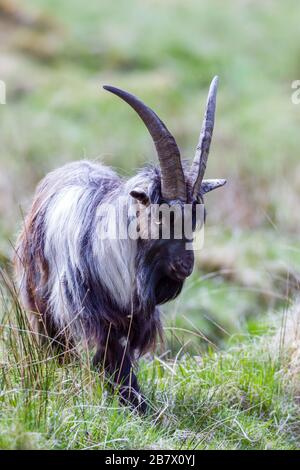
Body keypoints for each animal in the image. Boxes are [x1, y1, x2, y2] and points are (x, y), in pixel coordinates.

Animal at [14, 76, 225, 412]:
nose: (185, 266)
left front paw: (138, 404)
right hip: (38, 302)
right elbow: (111, 357)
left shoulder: (136, 319)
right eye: (161, 218)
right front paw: (130, 406)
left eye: (195, 220)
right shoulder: (89, 313)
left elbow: (123, 358)